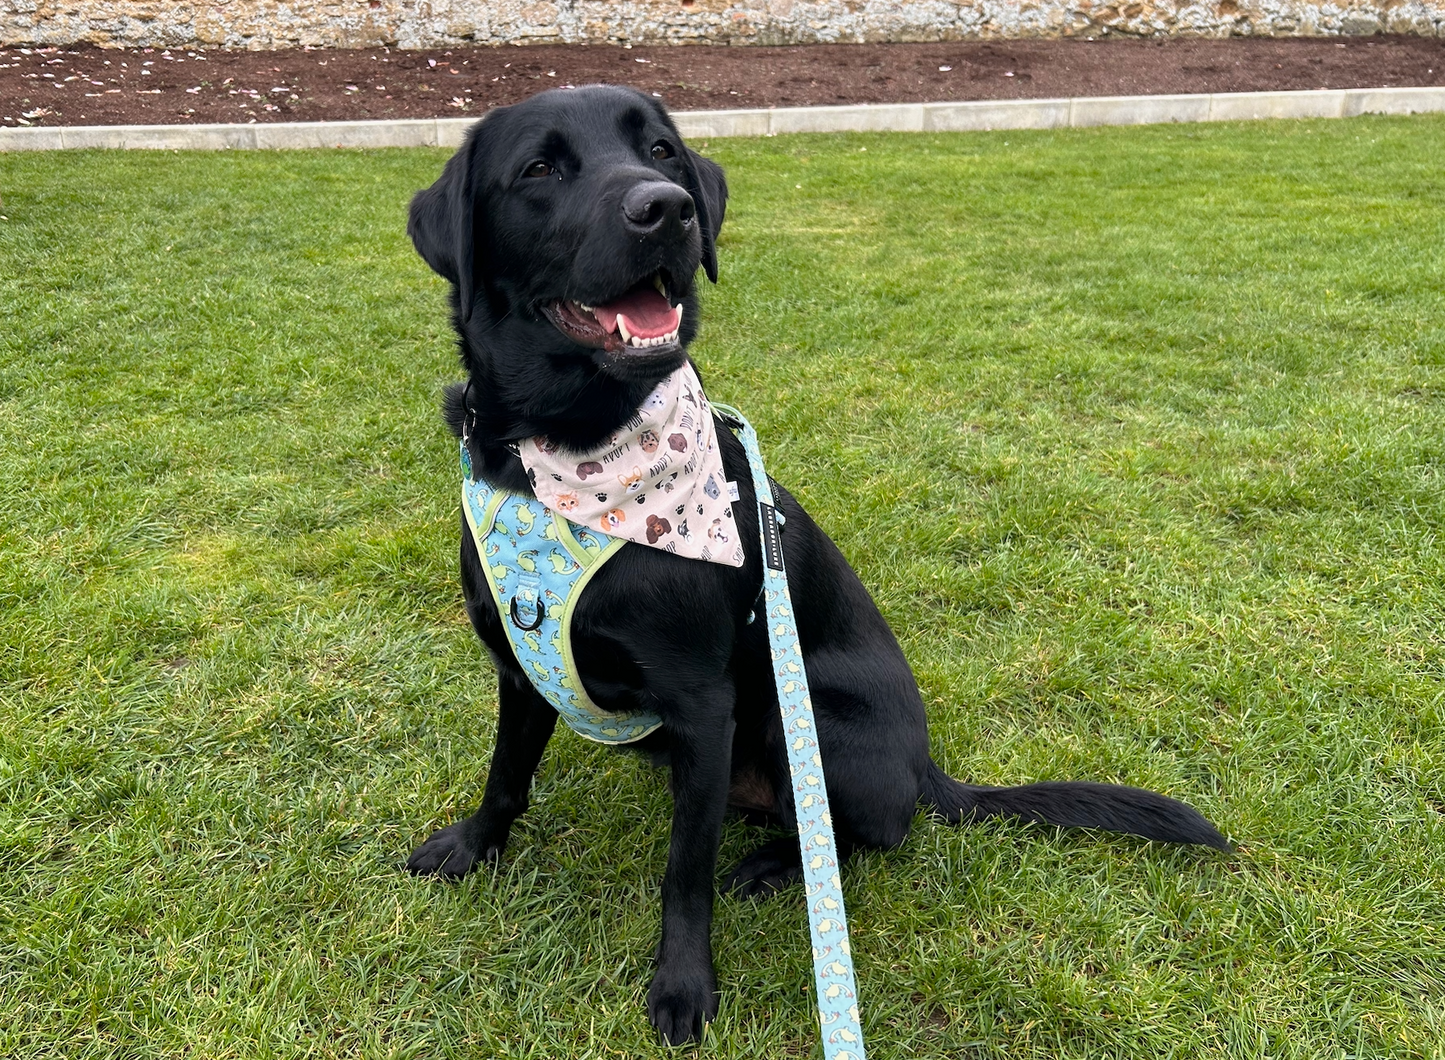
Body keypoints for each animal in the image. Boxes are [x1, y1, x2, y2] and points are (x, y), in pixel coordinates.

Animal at [407, 83, 1231, 1045]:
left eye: (661, 151)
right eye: (539, 168)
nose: (667, 209)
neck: (569, 460)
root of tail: (930, 771)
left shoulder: (703, 703)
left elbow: (683, 870)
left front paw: (683, 984)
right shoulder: (519, 664)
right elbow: (505, 775)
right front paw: (472, 847)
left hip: (802, 719)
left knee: (856, 834)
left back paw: (772, 864)